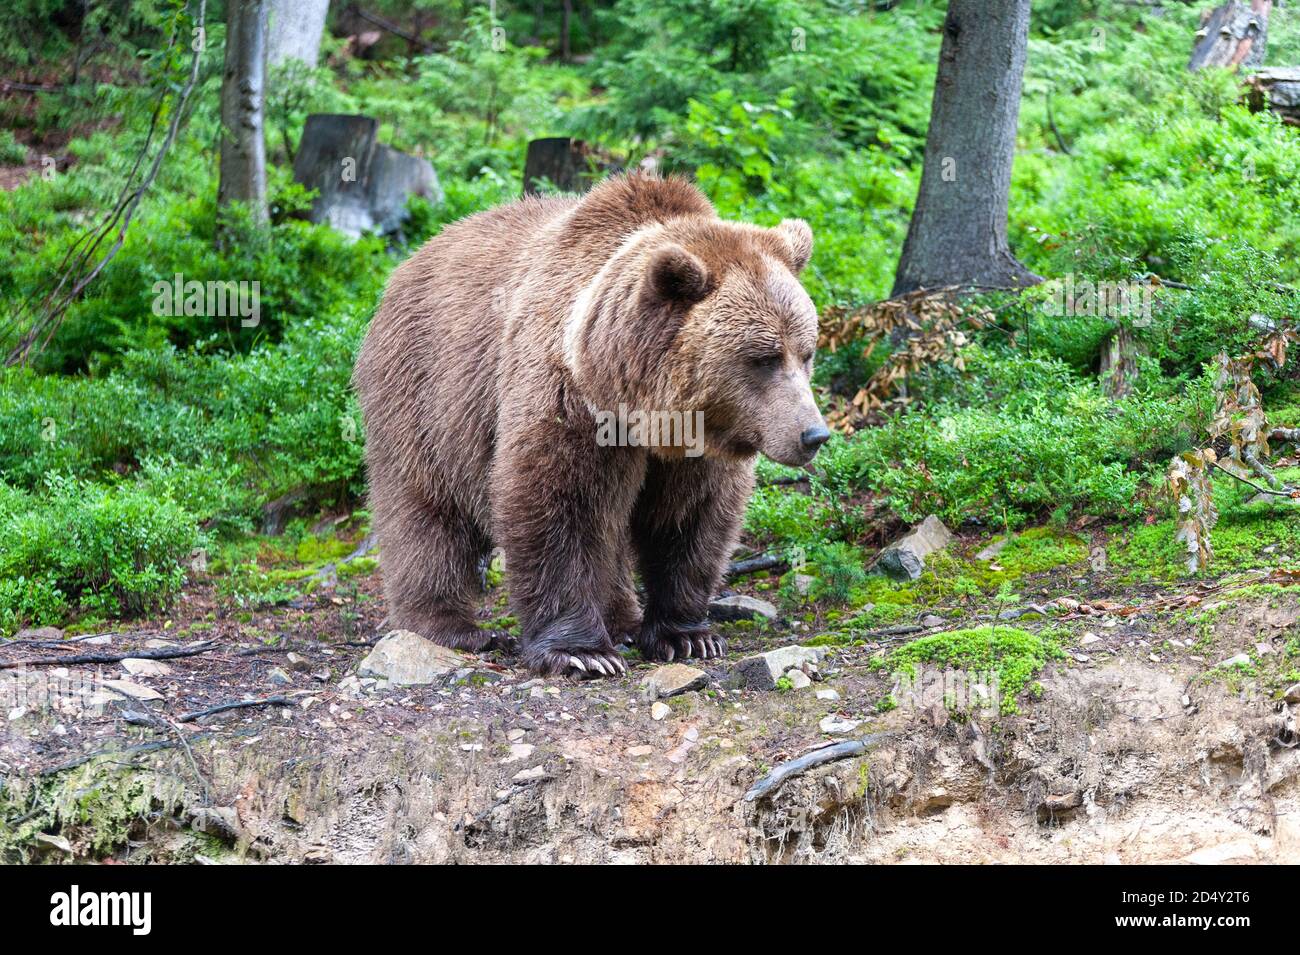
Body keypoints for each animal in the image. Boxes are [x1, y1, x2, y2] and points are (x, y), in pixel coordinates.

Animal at [351, 174, 826, 680]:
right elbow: (557, 502)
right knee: (425, 510)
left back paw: (623, 618)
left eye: (806, 351)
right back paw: (449, 626)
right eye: (763, 358)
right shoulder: (568, 398)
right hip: (426, 393)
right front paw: (582, 652)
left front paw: (688, 635)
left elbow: (690, 515)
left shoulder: (697, 440)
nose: (813, 435)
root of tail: (409, 262)